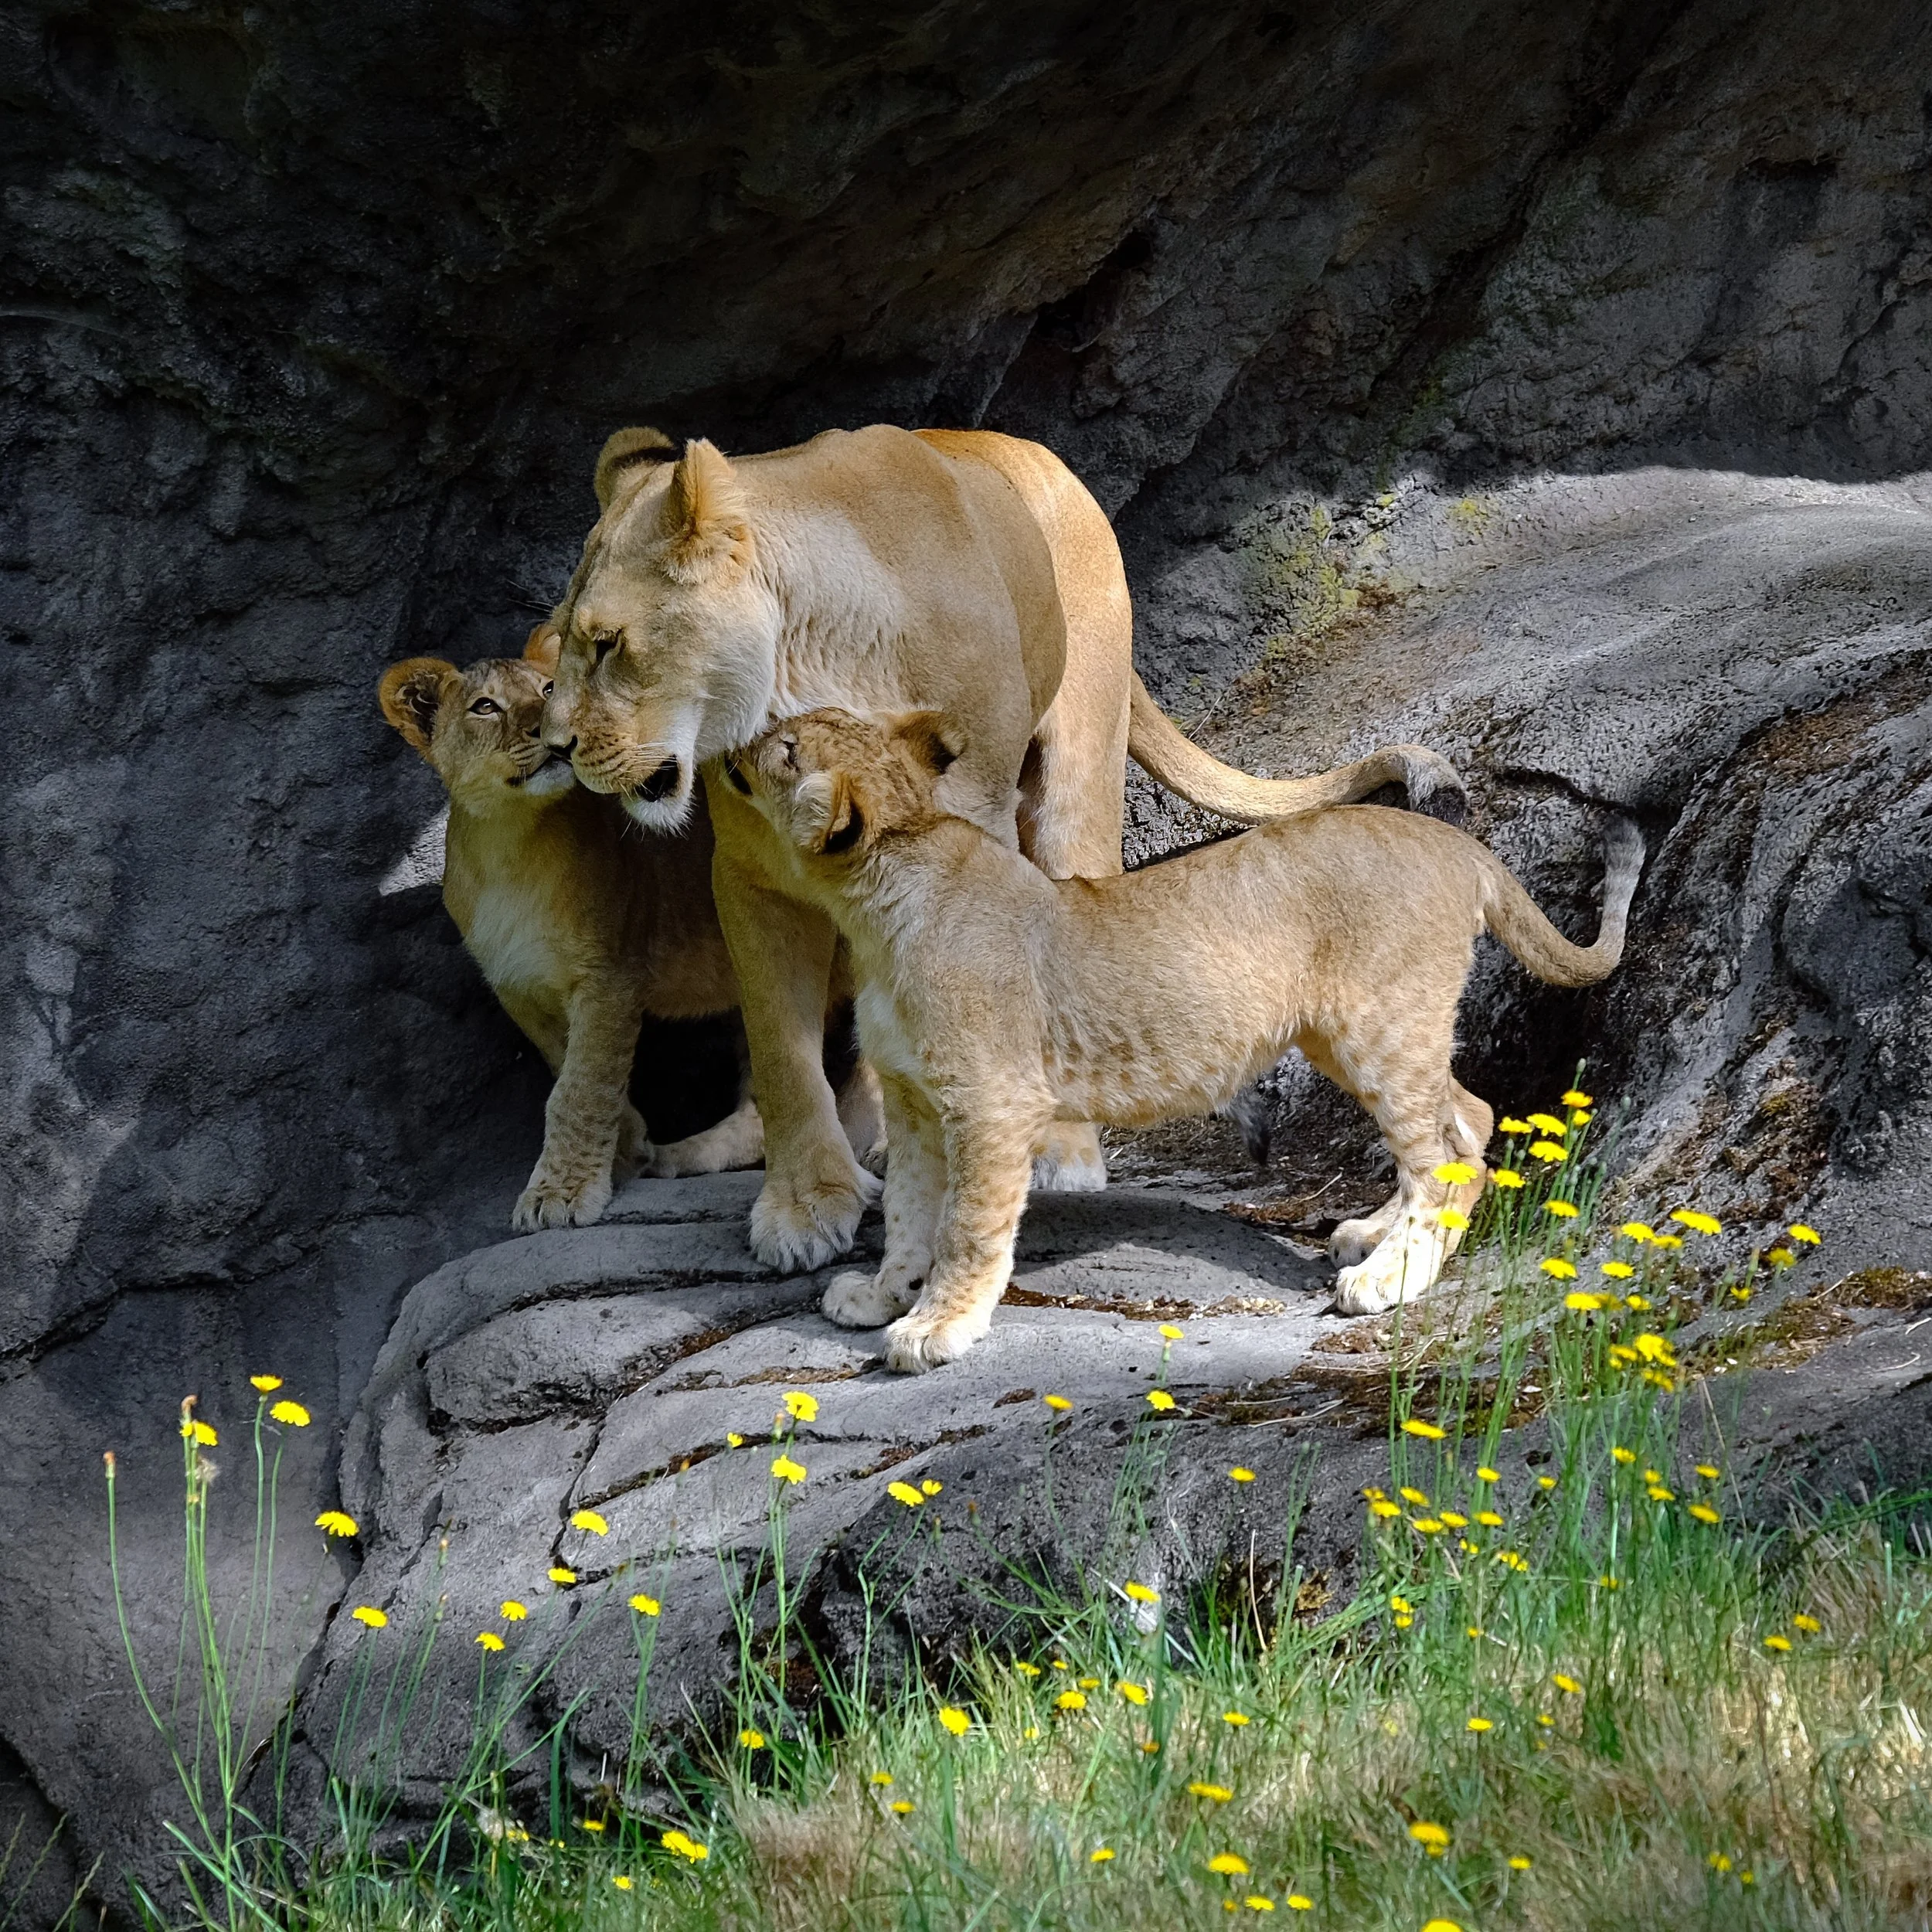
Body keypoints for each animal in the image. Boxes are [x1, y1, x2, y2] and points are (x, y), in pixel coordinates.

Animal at [378, 636, 772, 1230]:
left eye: (548, 690)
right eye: (485, 707)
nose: (548, 732)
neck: (508, 847)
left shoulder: (609, 975)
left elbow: (579, 1089)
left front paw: (559, 1196)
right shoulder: (521, 991)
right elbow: (571, 1071)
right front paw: (627, 1149)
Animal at [541, 424, 1465, 1271]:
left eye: (607, 643)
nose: (556, 747)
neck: (804, 658)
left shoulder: (970, 829)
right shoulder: (750, 875)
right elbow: (781, 1049)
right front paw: (806, 1207)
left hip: (1075, 772)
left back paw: (1060, 1147)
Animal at [731, 707, 1643, 1372]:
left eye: (787, 747)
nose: (741, 739)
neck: (875, 905)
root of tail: (1455, 841)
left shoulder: (992, 1102)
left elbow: (966, 1224)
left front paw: (936, 1326)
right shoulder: (916, 1103)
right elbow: (911, 1213)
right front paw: (887, 1296)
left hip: (1377, 1027)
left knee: (1444, 1154)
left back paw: (1390, 1275)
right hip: (1357, 1033)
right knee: (1468, 1119)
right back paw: (1375, 1233)